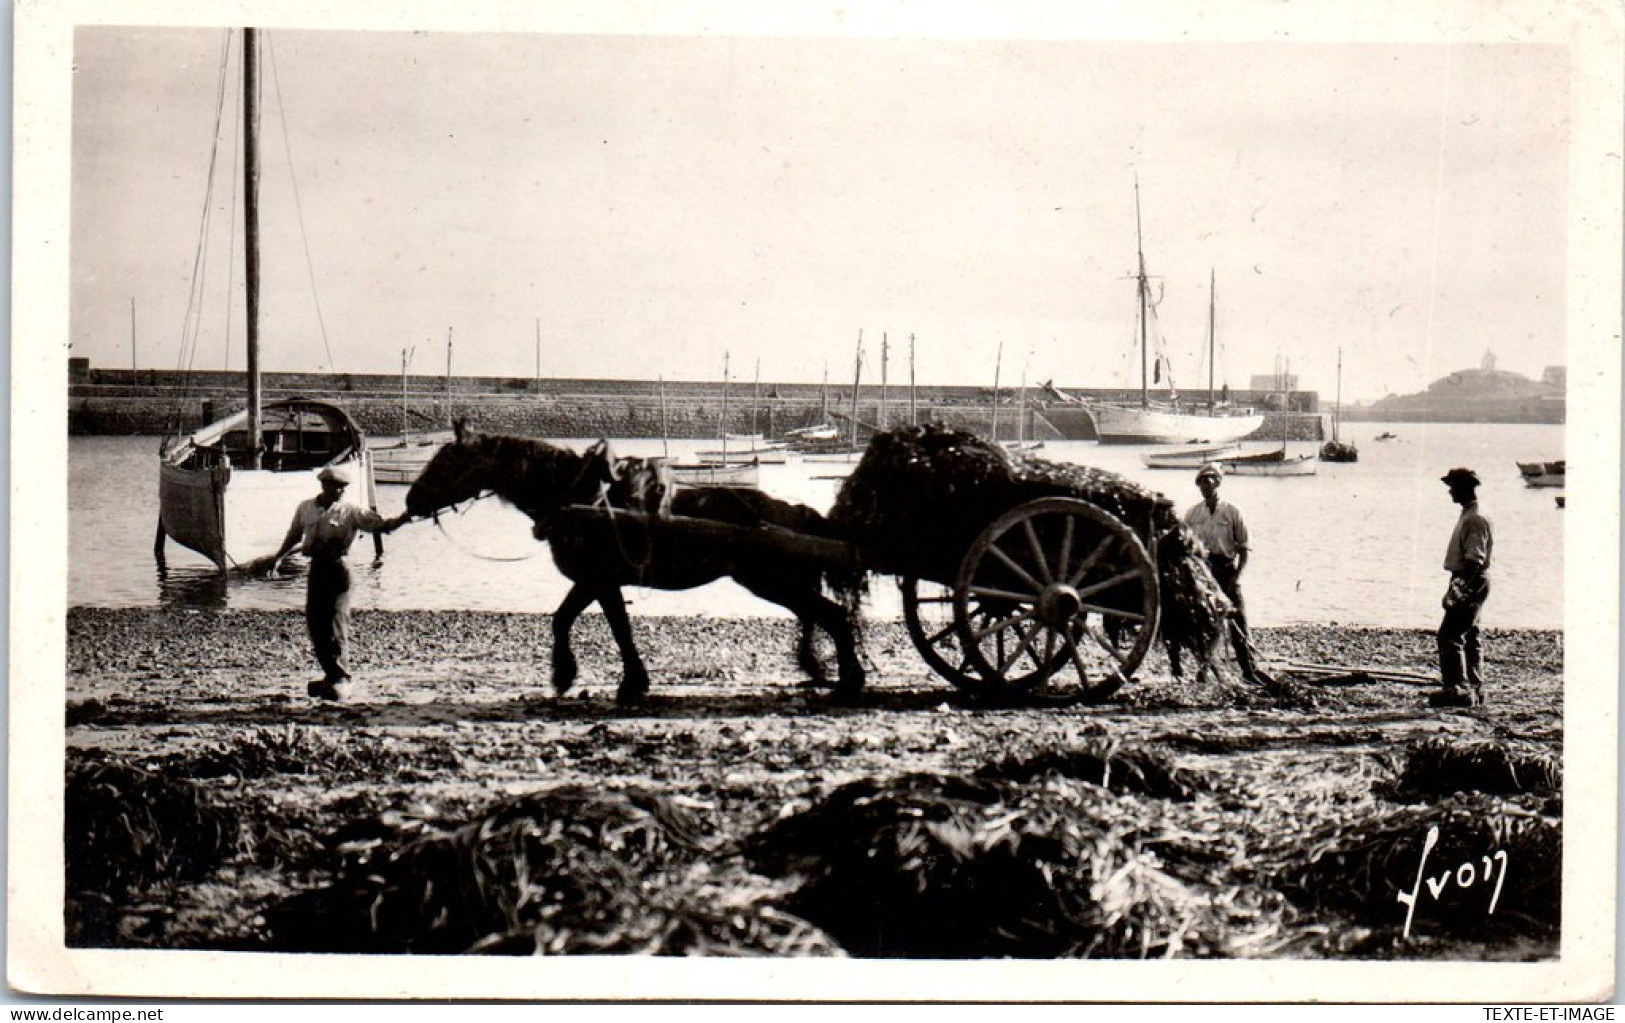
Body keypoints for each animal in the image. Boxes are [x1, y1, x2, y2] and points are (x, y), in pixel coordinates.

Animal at [403, 422, 864, 704]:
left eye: (447, 461)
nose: (410, 500)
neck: (579, 499)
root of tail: (796, 510)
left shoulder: (597, 579)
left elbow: (596, 626)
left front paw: (588, 677)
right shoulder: (597, 582)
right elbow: (587, 623)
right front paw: (607, 678)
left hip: (771, 582)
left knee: (833, 617)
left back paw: (849, 678)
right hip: (781, 584)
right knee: (819, 617)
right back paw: (825, 669)